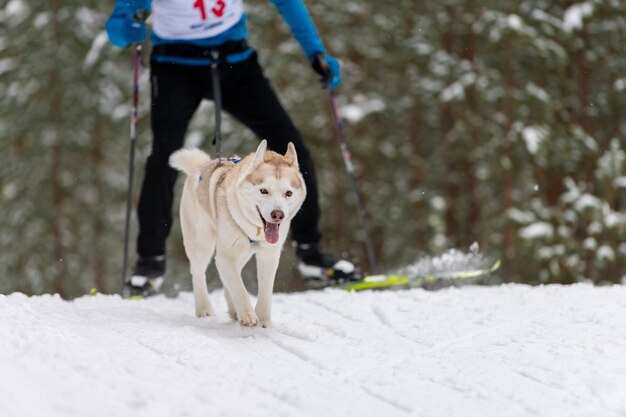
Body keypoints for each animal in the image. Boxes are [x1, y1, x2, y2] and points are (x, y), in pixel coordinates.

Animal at [168, 141, 304, 328]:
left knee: (229, 277)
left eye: (288, 193)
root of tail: (201, 166)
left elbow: (265, 289)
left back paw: (233, 310)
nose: (278, 215)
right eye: (264, 191)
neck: (255, 230)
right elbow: (239, 287)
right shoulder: (225, 256)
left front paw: (263, 320)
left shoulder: (269, 256)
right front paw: (247, 315)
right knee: (198, 273)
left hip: (241, 253)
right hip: (201, 244)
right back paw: (204, 309)